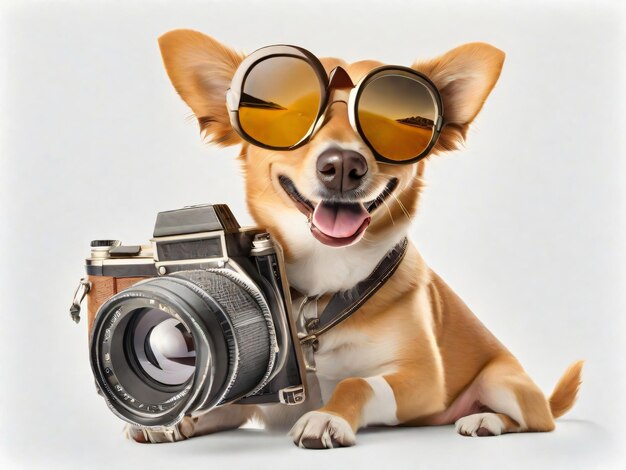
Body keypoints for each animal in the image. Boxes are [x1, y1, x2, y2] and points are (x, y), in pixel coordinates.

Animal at [124, 28, 584, 448]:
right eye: (293, 116)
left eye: (388, 126)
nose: (343, 164)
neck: (323, 285)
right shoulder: (252, 398)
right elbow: (217, 403)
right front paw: (175, 419)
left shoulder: (422, 379)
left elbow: (356, 383)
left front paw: (327, 418)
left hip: (503, 383)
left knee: (536, 420)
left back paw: (486, 419)